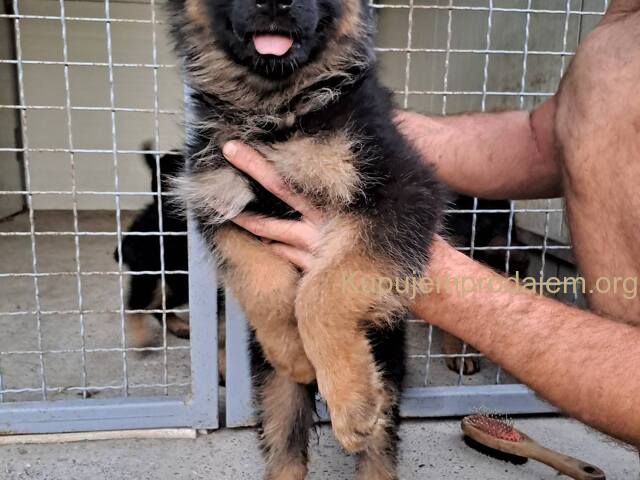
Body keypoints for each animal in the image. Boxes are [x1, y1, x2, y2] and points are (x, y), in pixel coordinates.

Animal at [166, 1, 443, 478]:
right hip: (274, 390)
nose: (274, 3)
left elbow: (321, 290)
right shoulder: (218, 204)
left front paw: (351, 400)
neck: (275, 108)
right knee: (285, 449)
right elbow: (264, 282)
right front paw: (295, 351)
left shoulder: (399, 188)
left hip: (386, 362)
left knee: (378, 451)